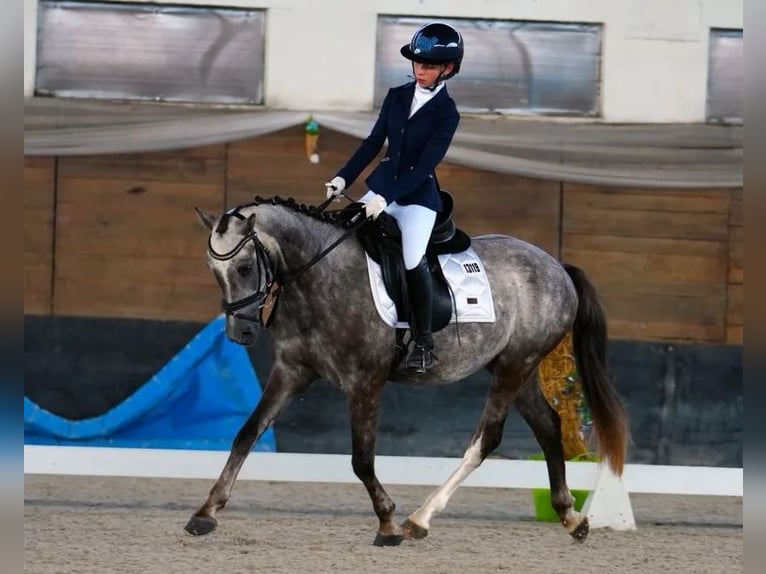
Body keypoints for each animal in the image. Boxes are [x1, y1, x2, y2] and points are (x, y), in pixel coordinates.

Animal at [186, 195, 629, 546]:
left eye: (245, 268)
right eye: (213, 270)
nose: (240, 333)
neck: (320, 276)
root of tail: (556, 265)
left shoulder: (365, 382)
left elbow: (362, 459)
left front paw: (388, 524)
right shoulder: (292, 372)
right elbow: (246, 435)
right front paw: (206, 513)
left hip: (515, 365)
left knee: (486, 439)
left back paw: (420, 519)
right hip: (513, 367)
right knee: (549, 426)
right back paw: (571, 517)